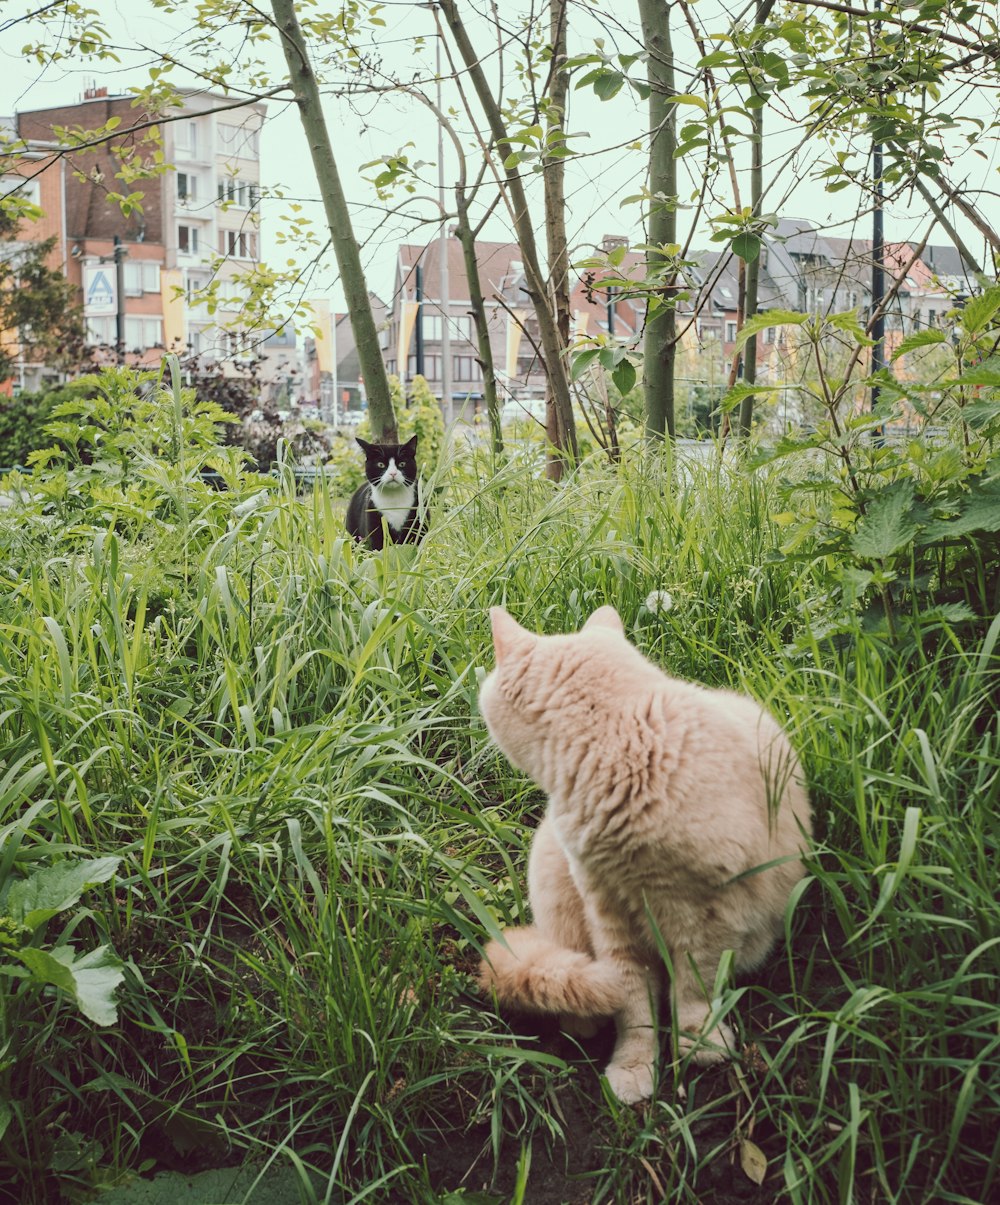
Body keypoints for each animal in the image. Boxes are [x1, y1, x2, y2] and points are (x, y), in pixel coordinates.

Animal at [479, 607, 814, 1103]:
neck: (618, 742)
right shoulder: (607, 912)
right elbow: (632, 1002)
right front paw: (634, 1064)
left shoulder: (708, 916)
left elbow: (692, 991)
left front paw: (699, 1044)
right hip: (553, 870)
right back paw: (581, 1014)